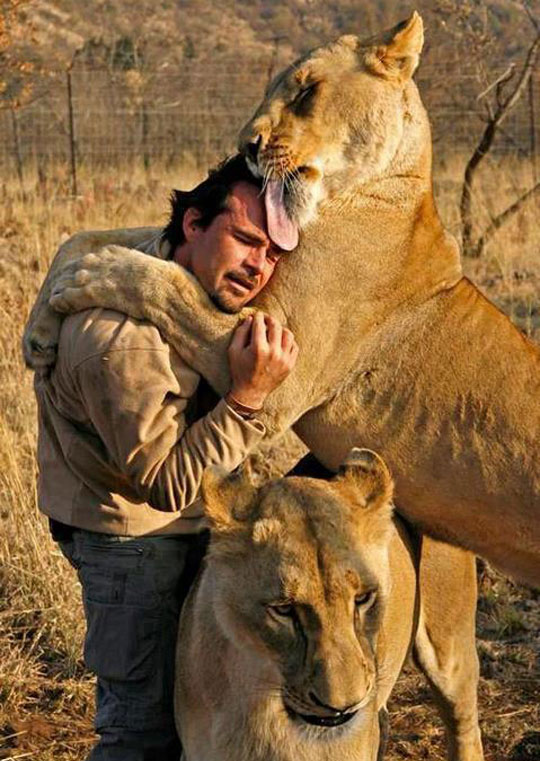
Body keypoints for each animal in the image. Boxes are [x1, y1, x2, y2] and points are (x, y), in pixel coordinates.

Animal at [23, 13, 540, 584]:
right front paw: (41, 327)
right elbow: (97, 237)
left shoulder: (282, 371)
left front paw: (95, 274)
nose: (247, 145)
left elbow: (168, 282)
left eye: (307, 91)